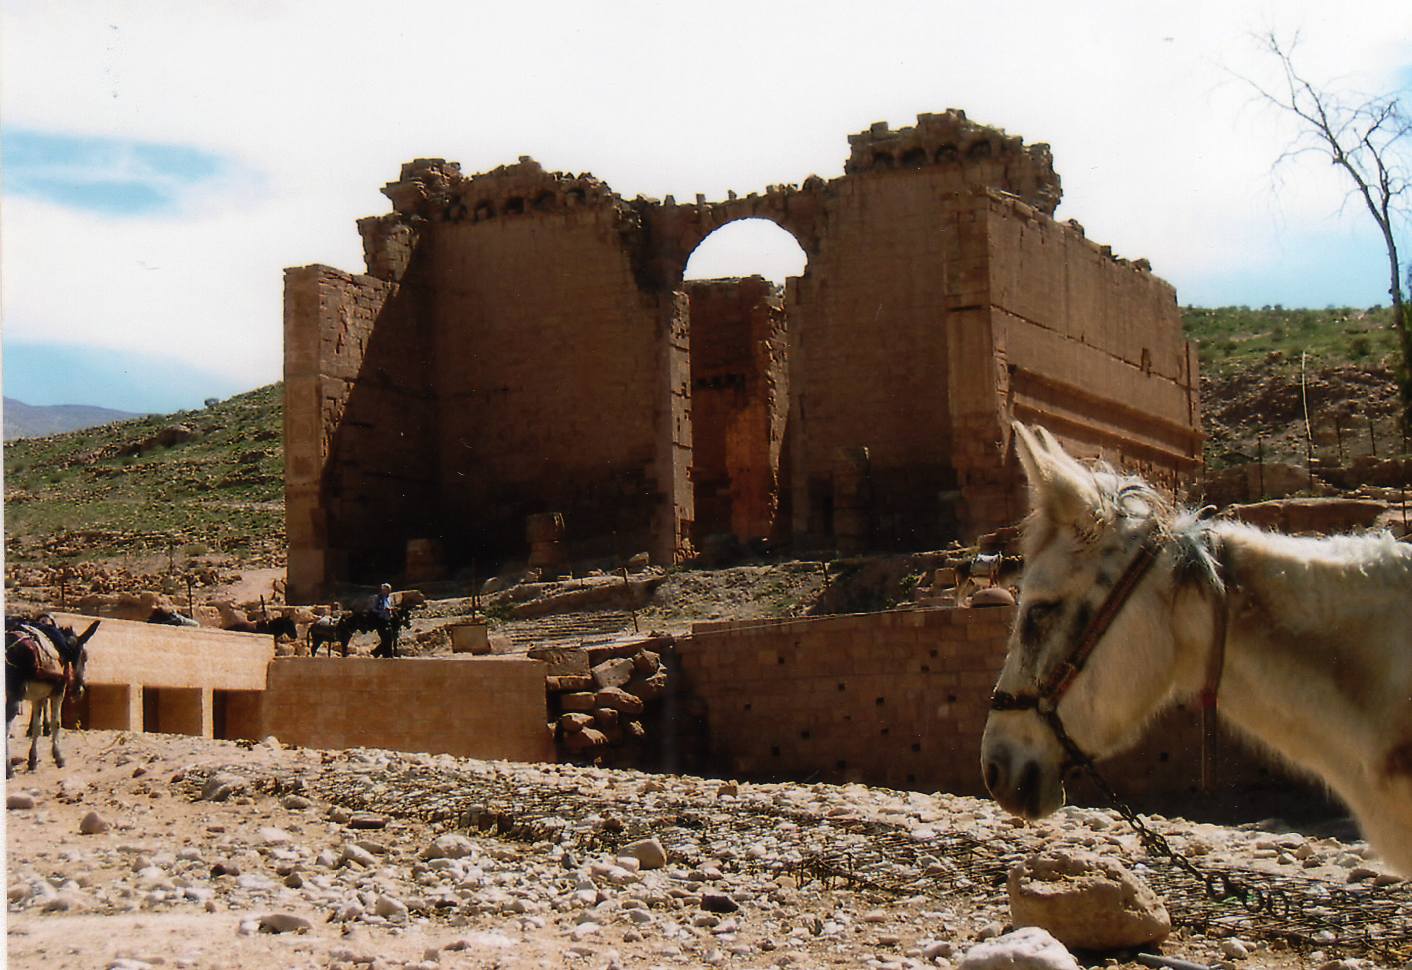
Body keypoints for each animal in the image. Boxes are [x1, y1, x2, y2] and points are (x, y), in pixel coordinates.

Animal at [5, 615, 101, 778]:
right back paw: (8, 769)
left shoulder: (38, 697)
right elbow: (56, 723)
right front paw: (58, 757)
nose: (79, 692)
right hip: (14, 697)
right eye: (85, 658)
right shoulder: (58, 691)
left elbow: (36, 727)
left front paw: (33, 760)